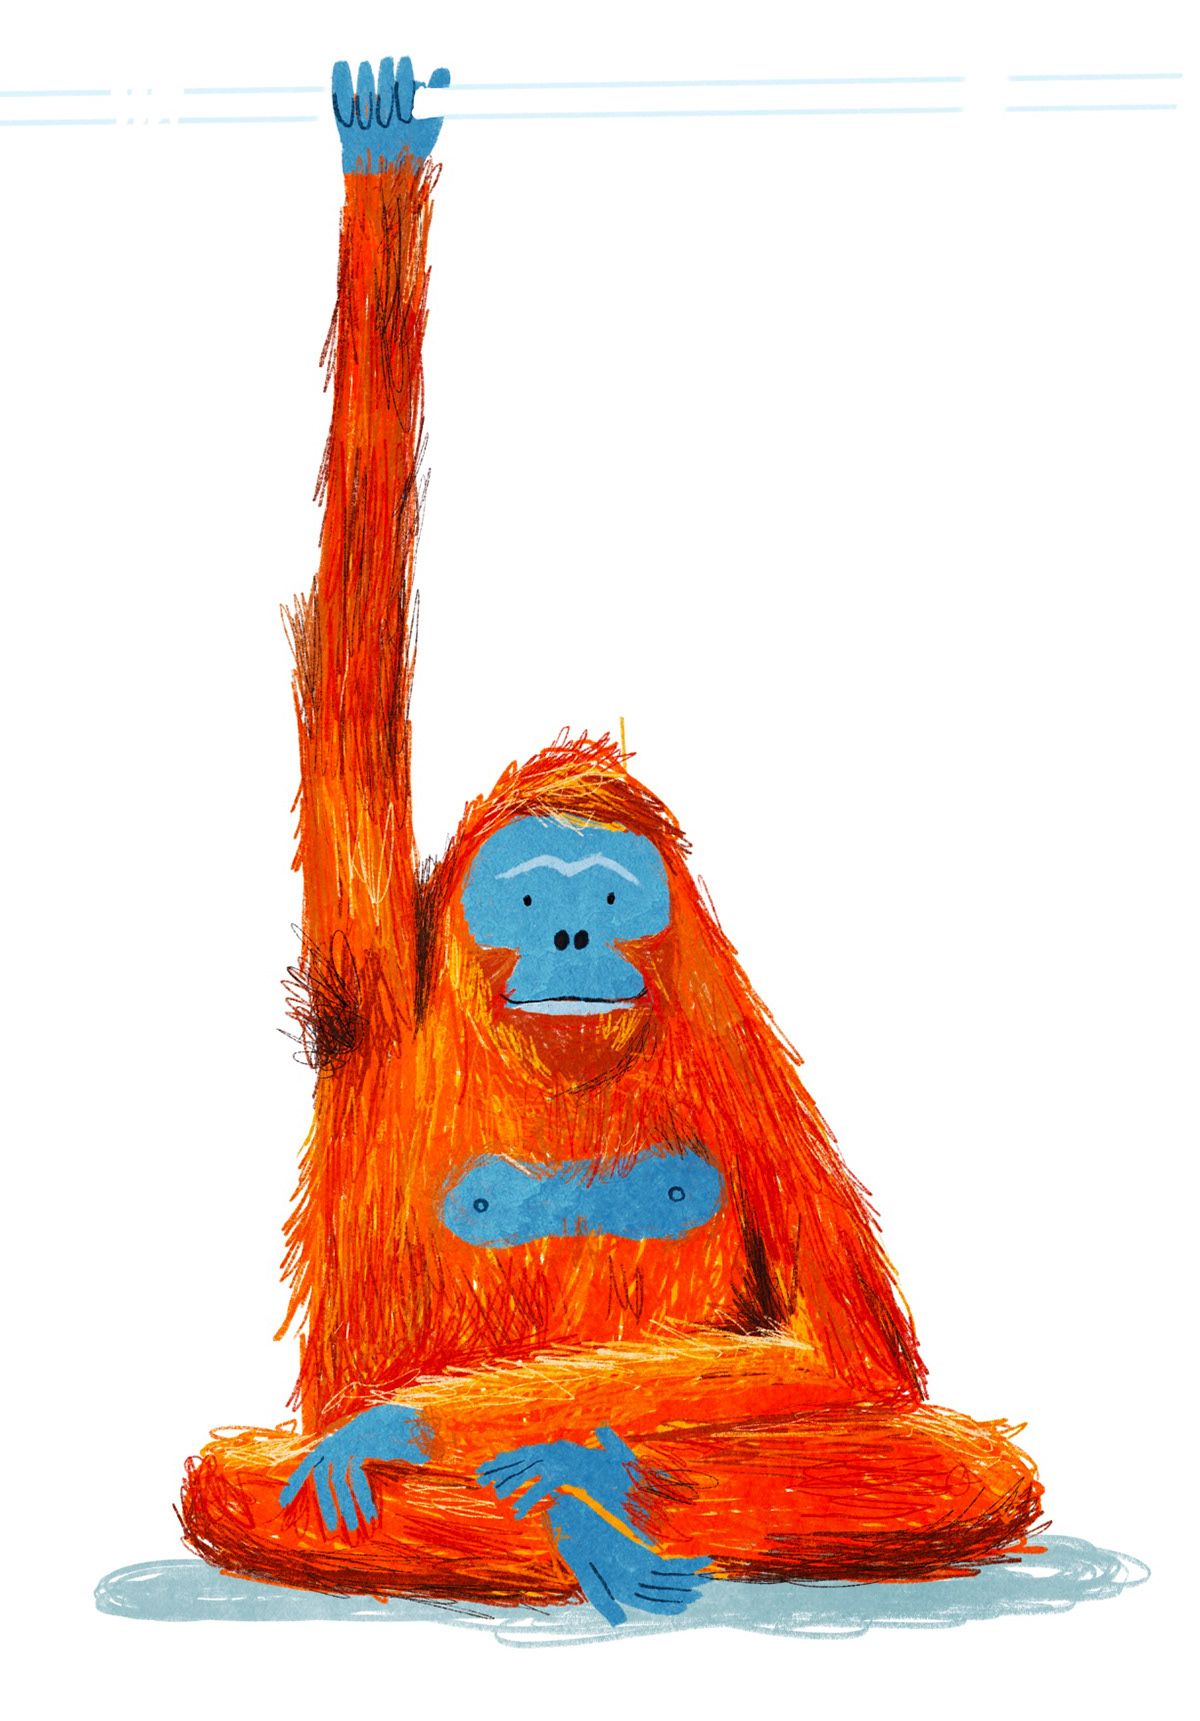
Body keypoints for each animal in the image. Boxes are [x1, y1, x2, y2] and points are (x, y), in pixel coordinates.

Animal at [179, 57, 1042, 1625]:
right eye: (529, 899)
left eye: (603, 894)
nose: (577, 929)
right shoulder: (373, 962)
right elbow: (355, 653)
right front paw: (379, 176)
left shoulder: (723, 1015)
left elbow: (857, 1348)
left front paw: (464, 1432)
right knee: (237, 1472)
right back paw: (573, 1518)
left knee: (948, 1454)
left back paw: (599, 1491)